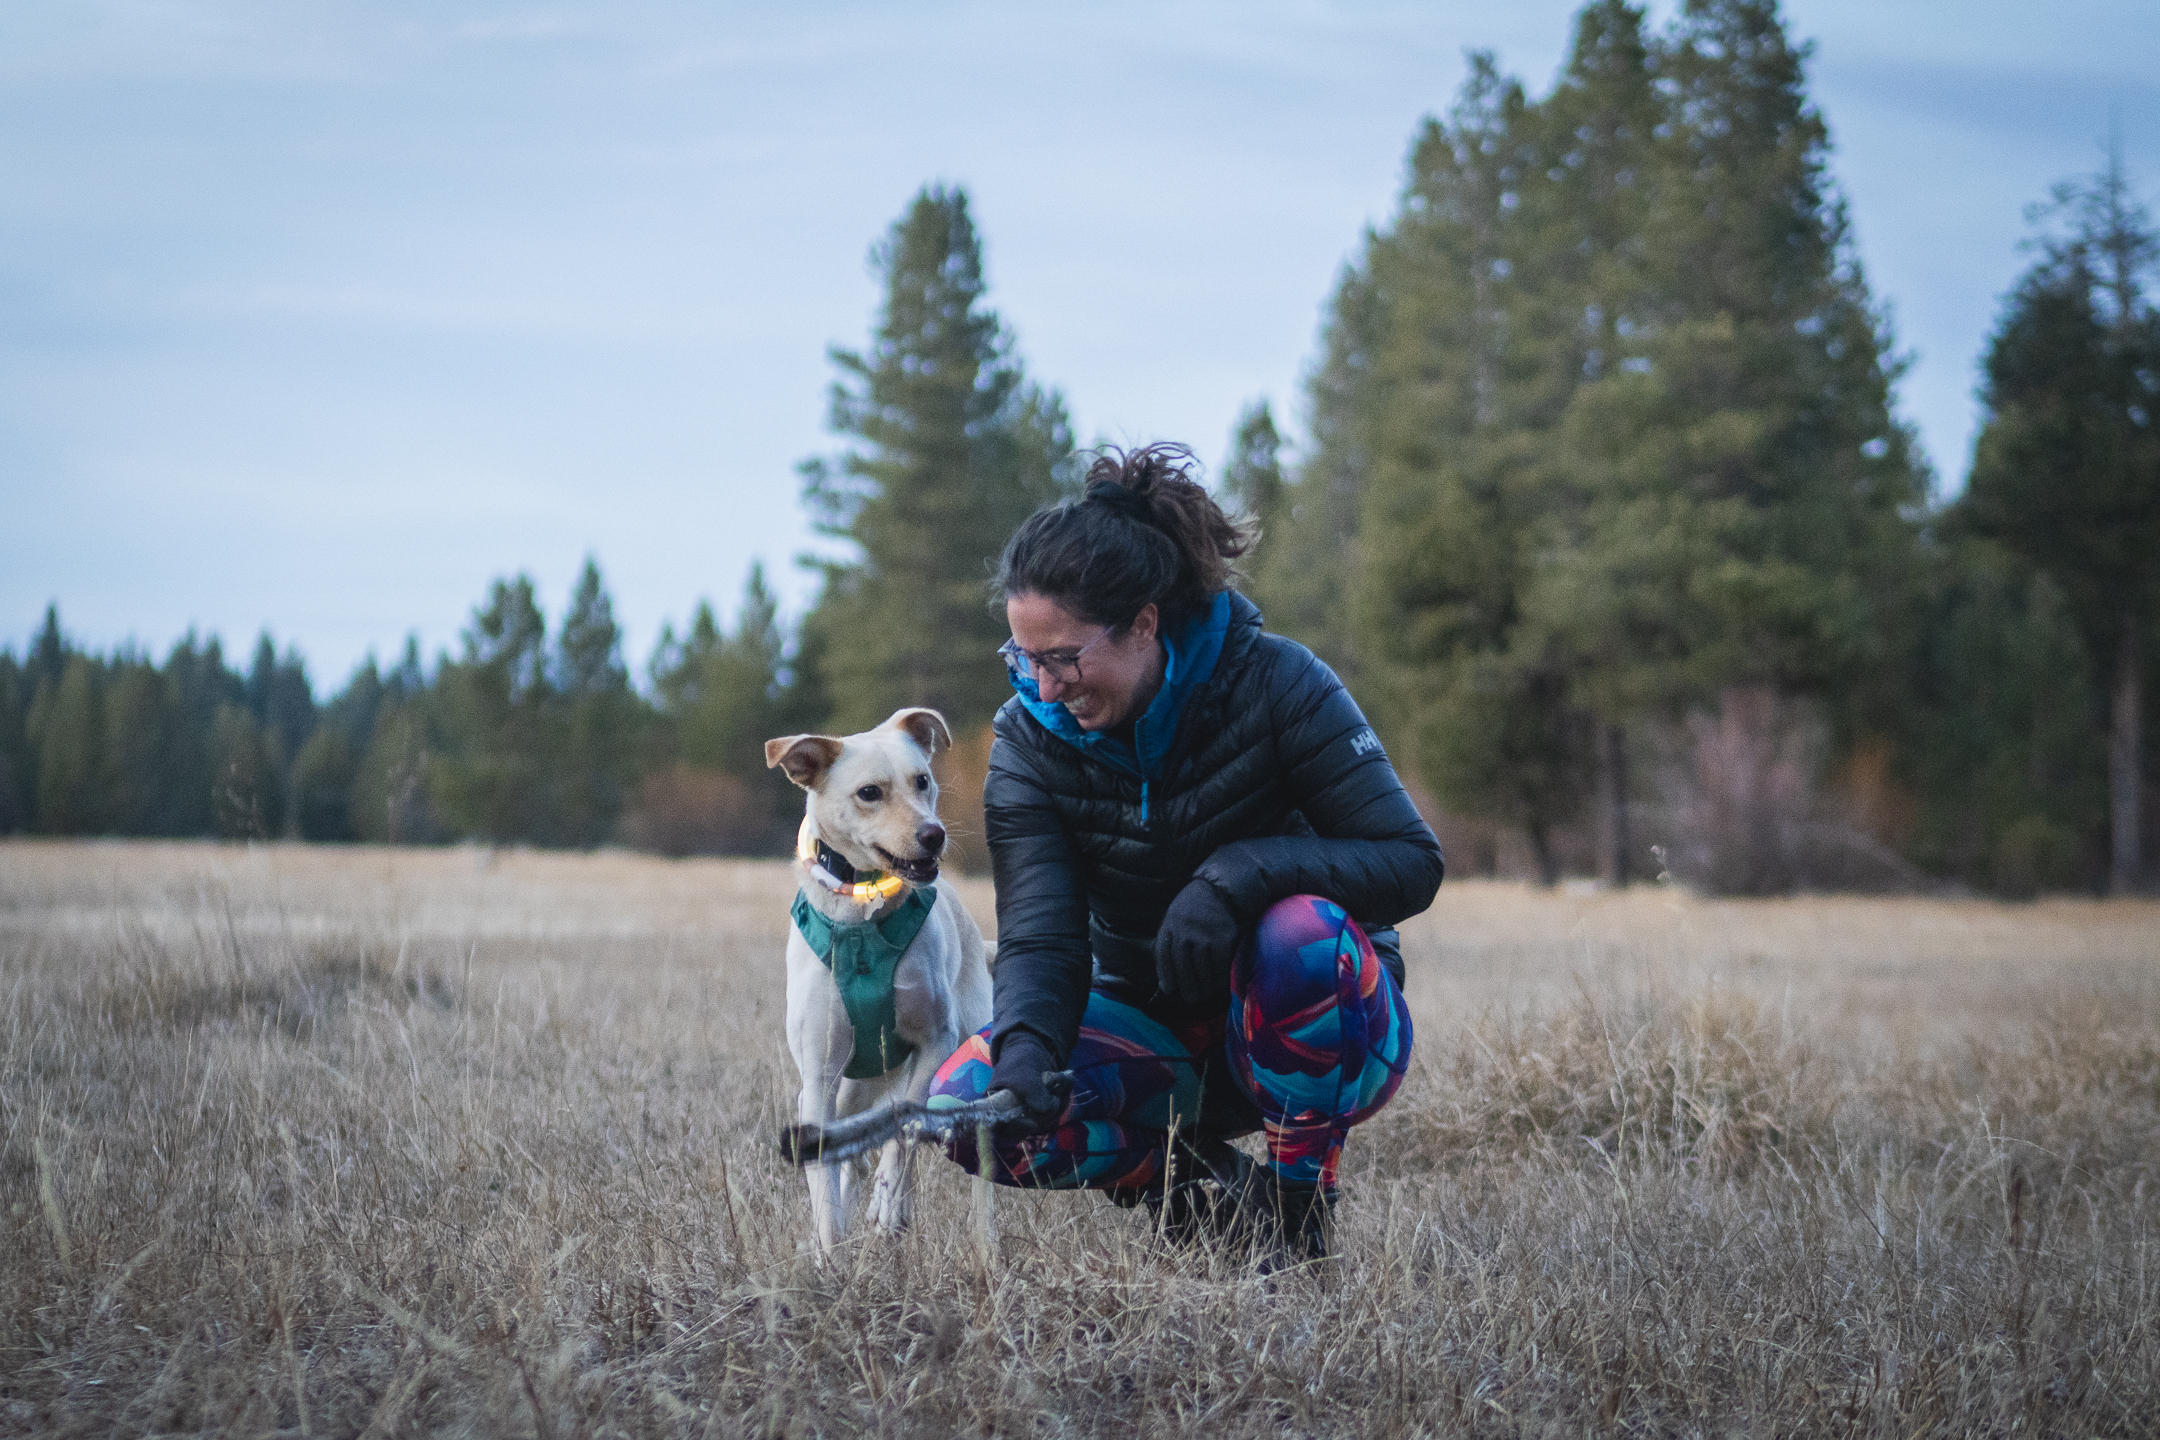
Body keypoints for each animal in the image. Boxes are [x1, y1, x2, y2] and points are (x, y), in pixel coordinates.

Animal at [764, 703, 989, 1243]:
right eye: (869, 793)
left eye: (922, 780)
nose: (933, 833)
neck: (864, 914)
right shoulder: (819, 1076)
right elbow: (825, 1175)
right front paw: (827, 1244)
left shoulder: (936, 1040)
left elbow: (906, 1125)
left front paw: (888, 1200)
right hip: (850, 1088)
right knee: (852, 1154)